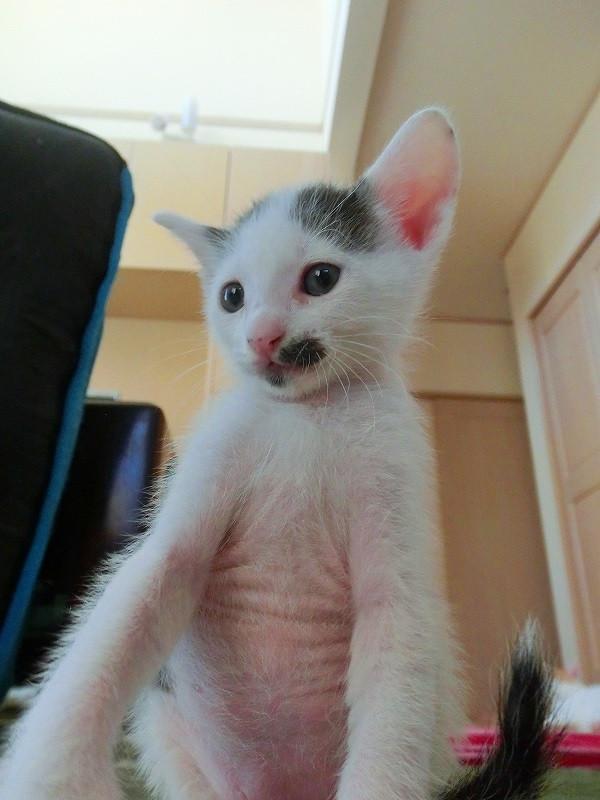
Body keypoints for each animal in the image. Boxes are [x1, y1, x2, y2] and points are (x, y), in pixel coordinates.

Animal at [0, 109, 555, 800]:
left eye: (320, 278)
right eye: (232, 296)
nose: (262, 336)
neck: (305, 419)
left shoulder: (398, 546)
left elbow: (392, 668)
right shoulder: (183, 518)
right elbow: (113, 631)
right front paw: (55, 774)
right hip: (168, 730)